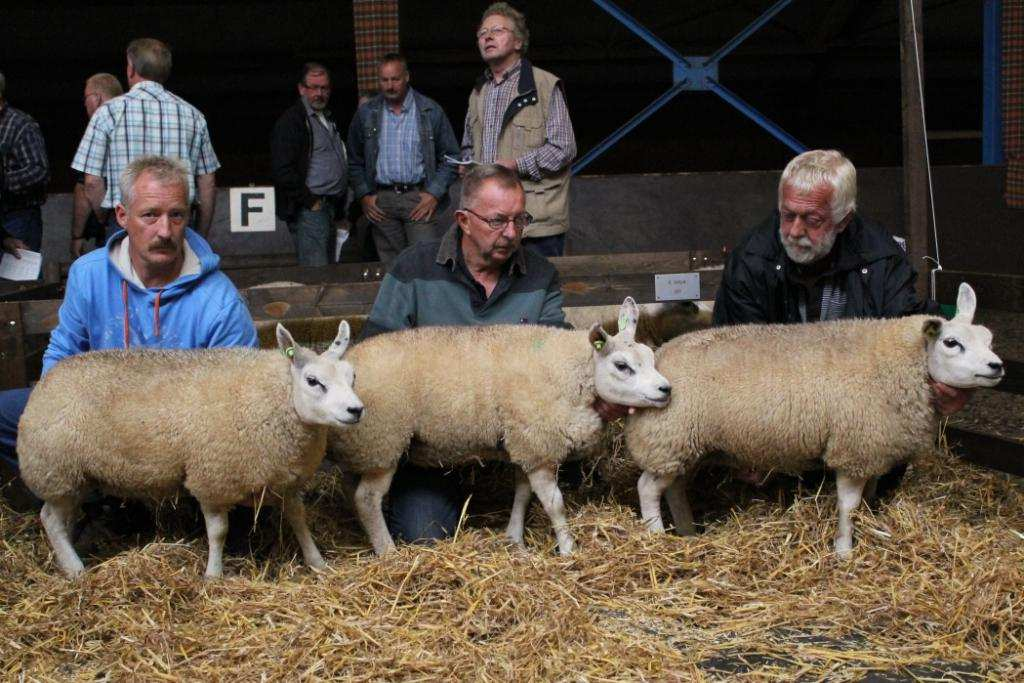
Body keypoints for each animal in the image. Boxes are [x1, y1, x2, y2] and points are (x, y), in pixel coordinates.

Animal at [16, 321, 364, 577]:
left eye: (352, 377)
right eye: (313, 381)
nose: (356, 410)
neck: (278, 399)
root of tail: (45, 381)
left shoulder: (288, 479)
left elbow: (299, 520)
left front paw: (317, 561)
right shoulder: (211, 479)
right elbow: (219, 532)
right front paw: (213, 575)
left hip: (74, 477)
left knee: (60, 520)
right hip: (56, 470)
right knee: (50, 519)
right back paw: (75, 570)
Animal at [331, 296, 675, 557]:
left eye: (650, 356)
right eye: (622, 366)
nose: (665, 389)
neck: (571, 372)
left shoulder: (525, 441)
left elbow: (522, 494)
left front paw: (515, 539)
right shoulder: (539, 443)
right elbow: (555, 504)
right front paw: (568, 548)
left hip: (362, 444)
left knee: (352, 489)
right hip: (383, 439)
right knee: (367, 499)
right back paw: (387, 551)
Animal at [618, 286, 1003, 557]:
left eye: (989, 339)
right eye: (951, 343)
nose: (997, 366)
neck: (902, 364)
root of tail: (661, 353)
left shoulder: (874, 449)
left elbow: (867, 500)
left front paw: (868, 530)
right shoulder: (853, 447)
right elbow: (848, 505)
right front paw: (843, 551)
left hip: (684, 444)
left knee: (674, 488)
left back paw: (686, 530)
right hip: (667, 436)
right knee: (648, 488)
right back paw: (655, 534)